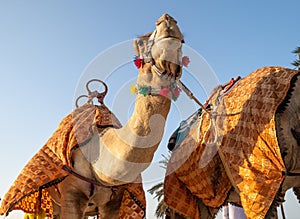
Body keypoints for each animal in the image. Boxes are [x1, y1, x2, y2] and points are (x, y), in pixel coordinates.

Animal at [0, 14, 185, 219]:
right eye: (141, 42)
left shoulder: (114, 201)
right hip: (49, 203)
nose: (167, 20)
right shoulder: (72, 195)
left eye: (183, 39)